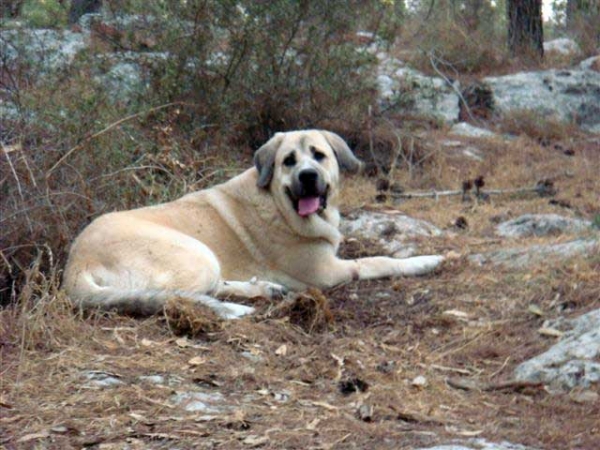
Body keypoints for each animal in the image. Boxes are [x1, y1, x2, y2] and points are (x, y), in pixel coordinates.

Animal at [63, 130, 442, 318]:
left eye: (318, 155)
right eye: (288, 161)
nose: (307, 177)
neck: (278, 201)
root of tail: (75, 264)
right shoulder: (328, 272)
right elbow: (379, 261)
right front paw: (426, 260)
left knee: (211, 288)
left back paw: (264, 288)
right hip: (195, 253)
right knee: (181, 297)